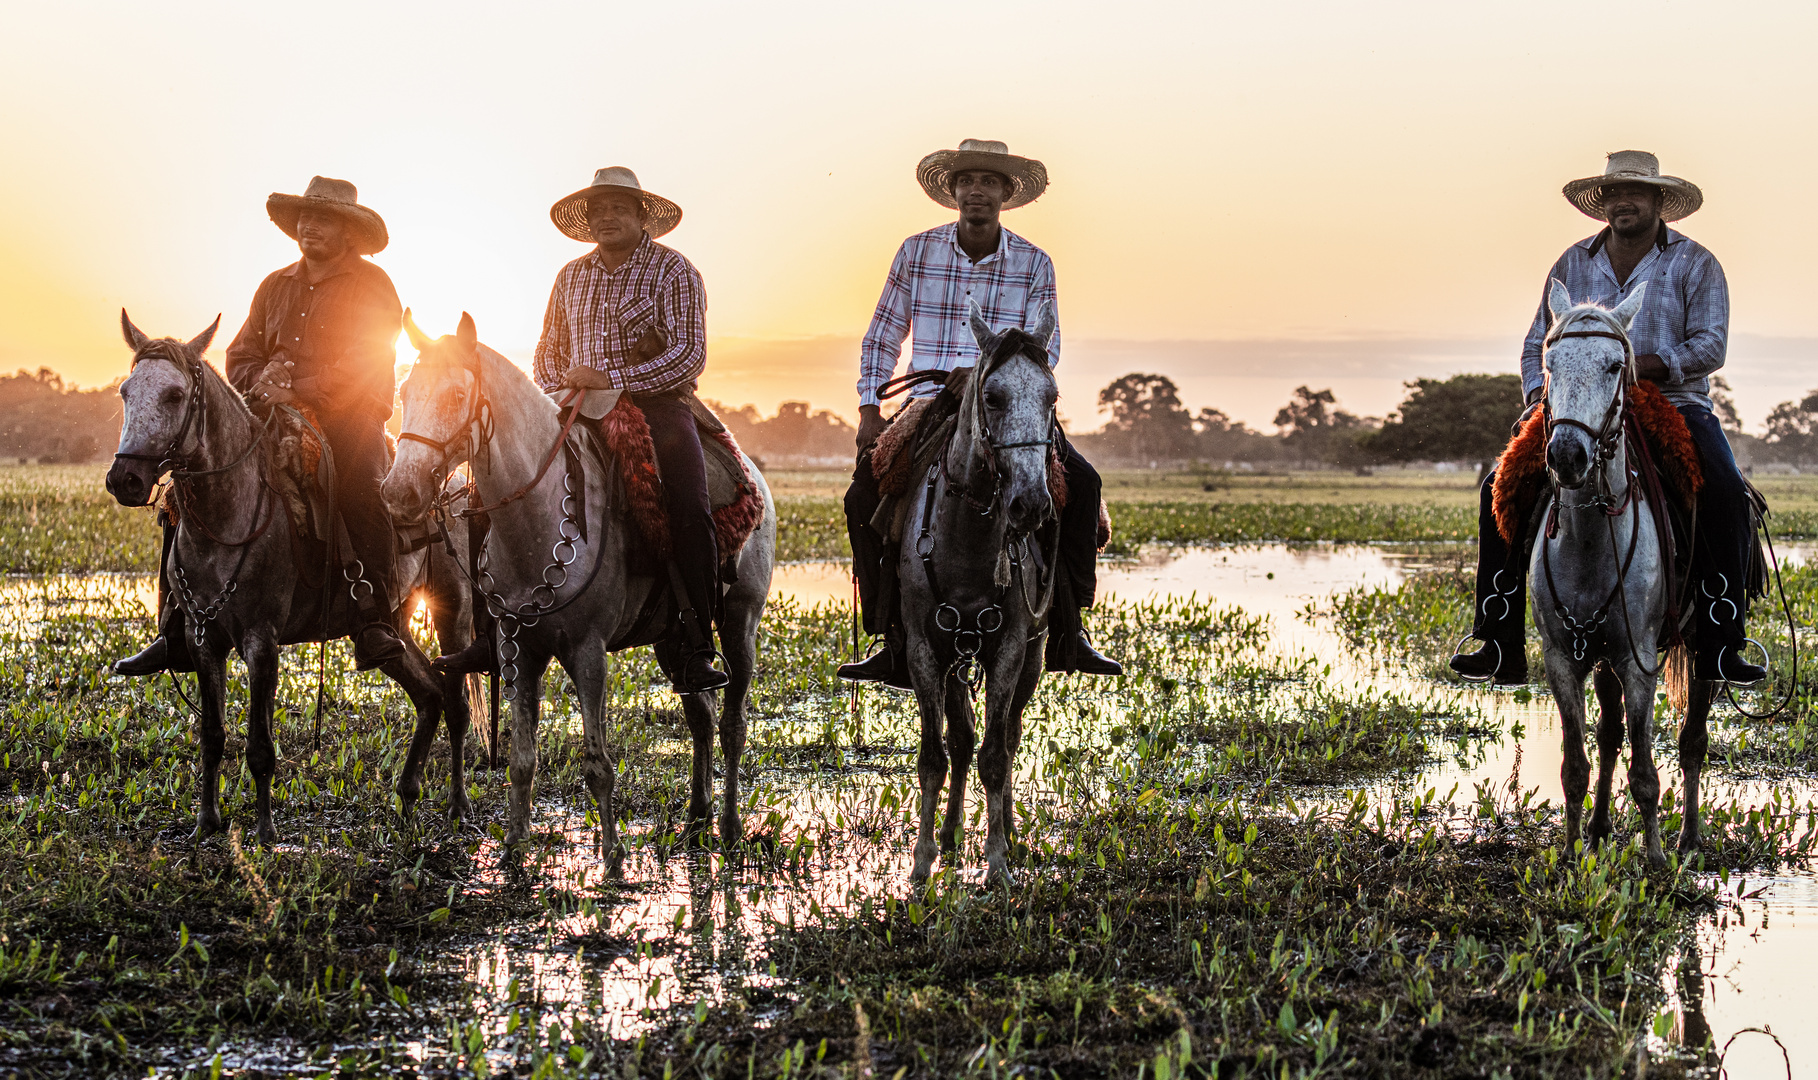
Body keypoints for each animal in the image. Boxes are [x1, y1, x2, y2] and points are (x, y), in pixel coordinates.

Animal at [103, 310, 479, 840]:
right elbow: (212, 736)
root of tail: (453, 486)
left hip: (452, 611)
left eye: (175, 395)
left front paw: (264, 832)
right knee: (428, 695)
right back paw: (407, 797)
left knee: (458, 704)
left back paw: (458, 804)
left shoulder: (262, 641)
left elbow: (260, 746)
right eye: (125, 392)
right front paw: (205, 822)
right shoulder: (202, 641)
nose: (126, 480)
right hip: (391, 626)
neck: (229, 519)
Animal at [379, 309, 778, 858]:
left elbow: (598, 766)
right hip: (675, 637)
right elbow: (522, 758)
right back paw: (696, 818)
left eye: (457, 395)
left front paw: (612, 858)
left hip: (741, 621)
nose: (399, 493)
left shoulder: (589, 652)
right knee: (700, 713)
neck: (537, 518)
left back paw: (732, 826)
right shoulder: (516, 649)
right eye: (404, 393)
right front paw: (513, 849)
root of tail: (754, 480)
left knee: (733, 723)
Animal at [898, 298, 1061, 880]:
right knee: (962, 739)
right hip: (955, 657)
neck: (965, 539)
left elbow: (995, 754)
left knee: (1006, 736)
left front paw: (997, 863)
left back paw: (1008, 832)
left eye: (1052, 398)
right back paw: (949, 836)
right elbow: (935, 756)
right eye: (992, 397)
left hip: (1033, 654)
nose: (1030, 505)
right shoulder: (925, 651)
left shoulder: (1011, 648)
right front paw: (922, 864)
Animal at [1527, 280, 1708, 865]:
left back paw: (1688, 838)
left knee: (1693, 741)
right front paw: (1569, 854)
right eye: (1550, 363)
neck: (1588, 541)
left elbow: (1647, 772)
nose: (1567, 454)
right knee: (1607, 736)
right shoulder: (1561, 658)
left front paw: (1654, 859)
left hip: (1703, 648)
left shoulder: (1639, 661)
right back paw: (1601, 828)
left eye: (1614, 366)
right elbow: (1575, 764)